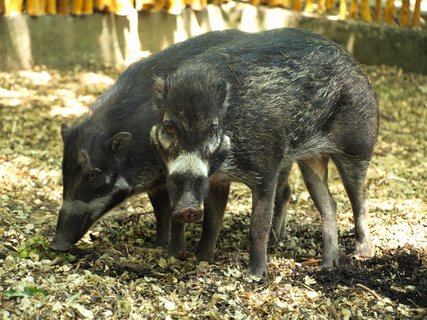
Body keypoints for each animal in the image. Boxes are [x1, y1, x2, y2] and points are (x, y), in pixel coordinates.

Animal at [152, 27, 380, 280]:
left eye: (212, 127)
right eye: (169, 127)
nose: (188, 208)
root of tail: (357, 67)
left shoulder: (267, 168)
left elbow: (258, 226)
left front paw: (256, 276)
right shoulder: (218, 180)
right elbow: (212, 222)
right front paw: (202, 261)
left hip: (358, 147)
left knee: (360, 199)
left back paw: (362, 253)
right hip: (311, 161)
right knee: (330, 205)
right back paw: (327, 265)